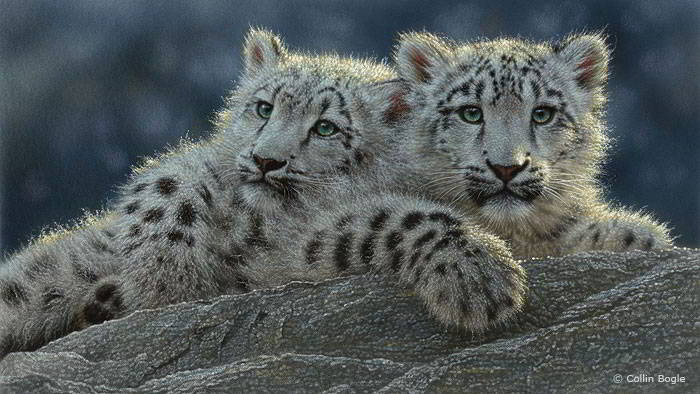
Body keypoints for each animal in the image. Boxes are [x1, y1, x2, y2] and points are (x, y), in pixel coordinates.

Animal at [0, 29, 524, 358]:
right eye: (264, 107)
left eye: (326, 127)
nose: (266, 160)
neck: (254, 224)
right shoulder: (196, 168)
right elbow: (169, 183)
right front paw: (166, 279)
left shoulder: (298, 251)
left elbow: (397, 218)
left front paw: (483, 276)